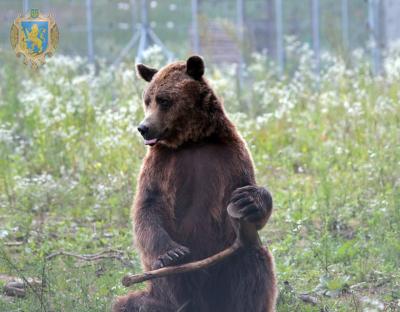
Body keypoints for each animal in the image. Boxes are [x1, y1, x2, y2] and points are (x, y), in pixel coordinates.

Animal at [112, 56, 276, 312]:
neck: (193, 140)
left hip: (227, 266)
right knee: (149, 295)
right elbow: (148, 206)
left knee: (253, 261)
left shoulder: (230, 155)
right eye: (147, 99)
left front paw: (250, 200)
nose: (143, 128)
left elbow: (248, 193)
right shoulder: (162, 164)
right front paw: (171, 252)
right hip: (170, 285)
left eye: (164, 100)